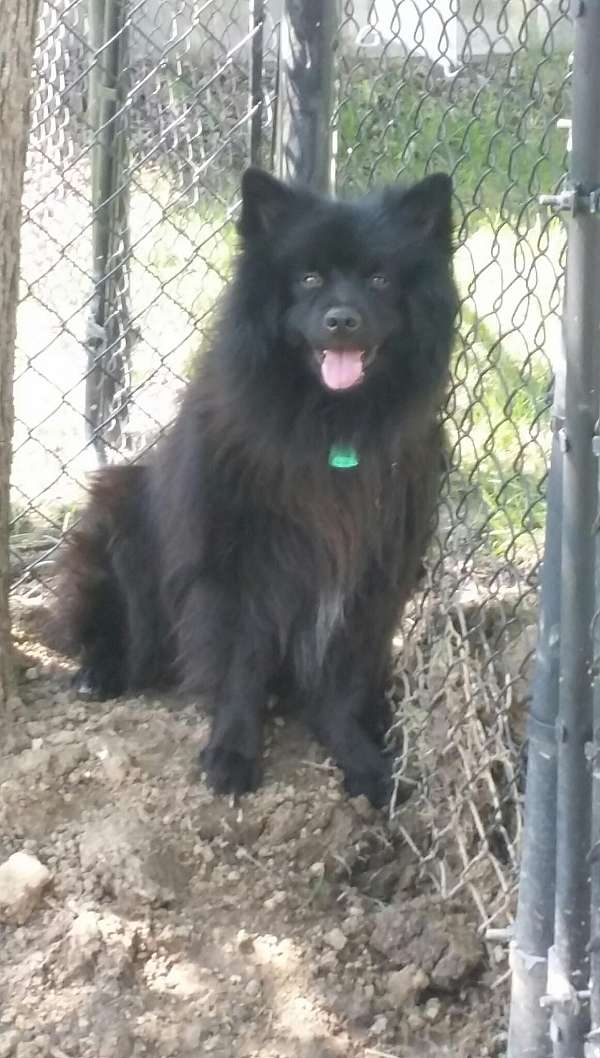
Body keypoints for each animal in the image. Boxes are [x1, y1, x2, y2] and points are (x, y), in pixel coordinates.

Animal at [59, 169, 455, 804]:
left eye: (379, 279)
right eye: (309, 278)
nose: (342, 319)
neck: (329, 425)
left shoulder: (373, 570)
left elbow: (343, 678)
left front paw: (362, 759)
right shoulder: (239, 567)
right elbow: (241, 664)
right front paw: (232, 753)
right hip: (117, 513)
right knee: (118, 627)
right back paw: (101, 672)